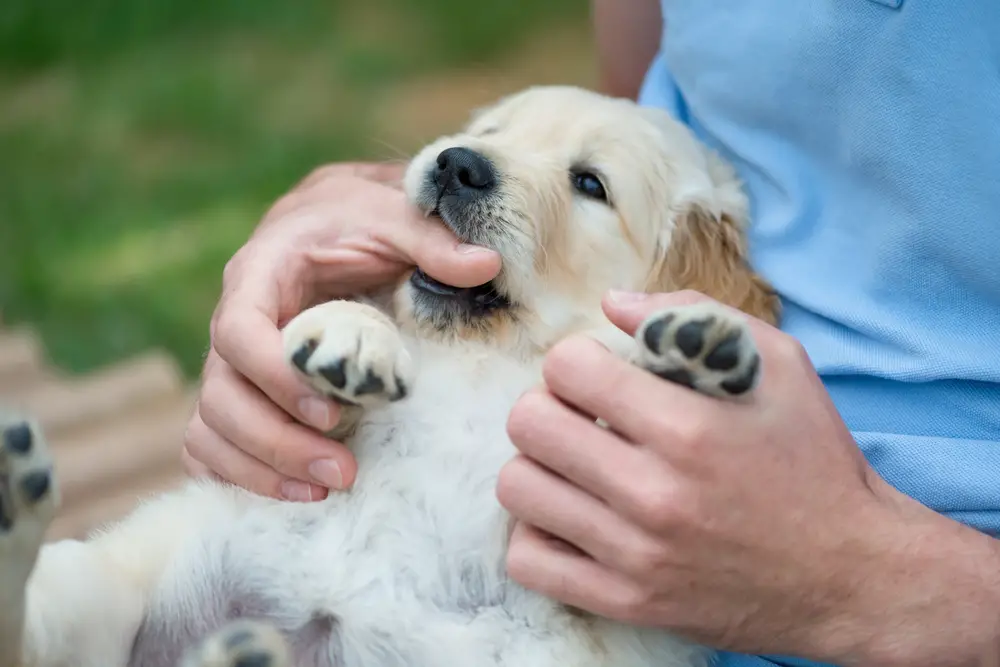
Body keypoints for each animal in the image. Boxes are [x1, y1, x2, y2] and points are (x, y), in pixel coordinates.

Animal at [0, 86, 780, 667]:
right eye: (491, 130)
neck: (490, 357)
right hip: (99, 584)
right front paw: (351, 334)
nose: (458, 164)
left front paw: (686, 355)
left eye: (590, 183)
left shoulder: (593, 587)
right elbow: (350, 327)